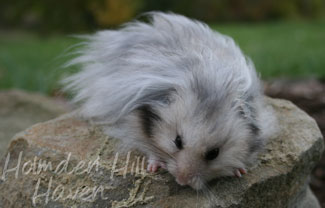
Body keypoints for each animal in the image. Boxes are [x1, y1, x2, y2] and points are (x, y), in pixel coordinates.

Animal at [64, 11, 276, 190]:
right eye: (177, 141)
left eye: (214, 153)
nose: (182, 181)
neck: (212, 86)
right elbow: (148, 147)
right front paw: (153, 167)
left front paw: (240, 171)